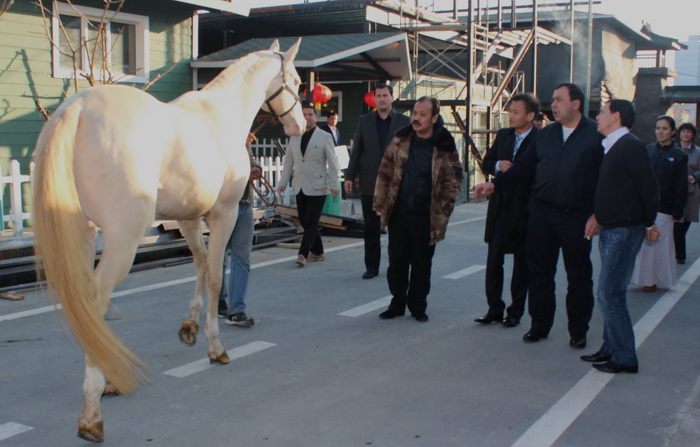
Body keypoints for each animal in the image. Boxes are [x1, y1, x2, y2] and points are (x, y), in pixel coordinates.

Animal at [32, 37, 304, 440]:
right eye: (297, 81)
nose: (299, 125)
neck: (222, 116)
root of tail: (77, 108)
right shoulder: (222, 213)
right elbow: (215, 275)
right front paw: (215, 345)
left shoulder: (187, 217)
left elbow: (201, 264)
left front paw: (189, 327)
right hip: (122, 239)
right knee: (95, 302)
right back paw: (93, 409)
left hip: (82, 232)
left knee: (84, 306)